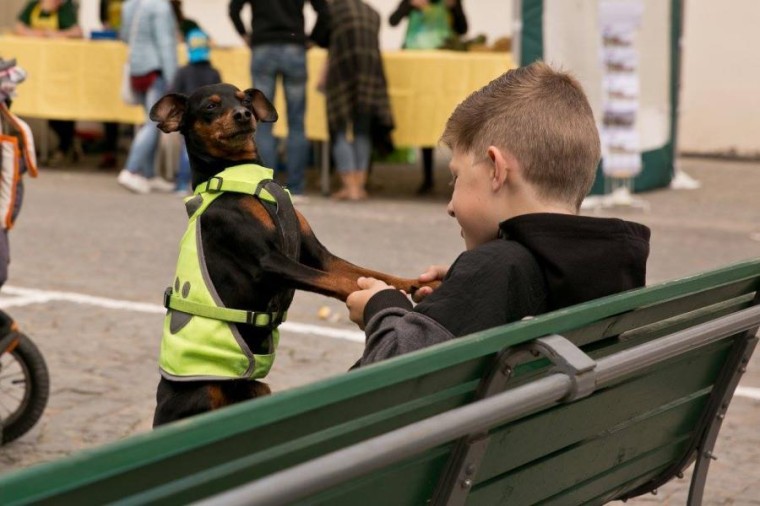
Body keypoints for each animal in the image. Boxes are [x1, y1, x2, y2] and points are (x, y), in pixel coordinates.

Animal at [149, 85, 434, 424]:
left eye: (245, 100)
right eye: (210, 107)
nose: (244, 115)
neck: (241, 175)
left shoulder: (319, 255)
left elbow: (364, 272)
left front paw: (416, 283)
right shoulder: (269, 262)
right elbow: (339, 281)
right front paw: (378, 295)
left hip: (258, 390)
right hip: (204, 392)